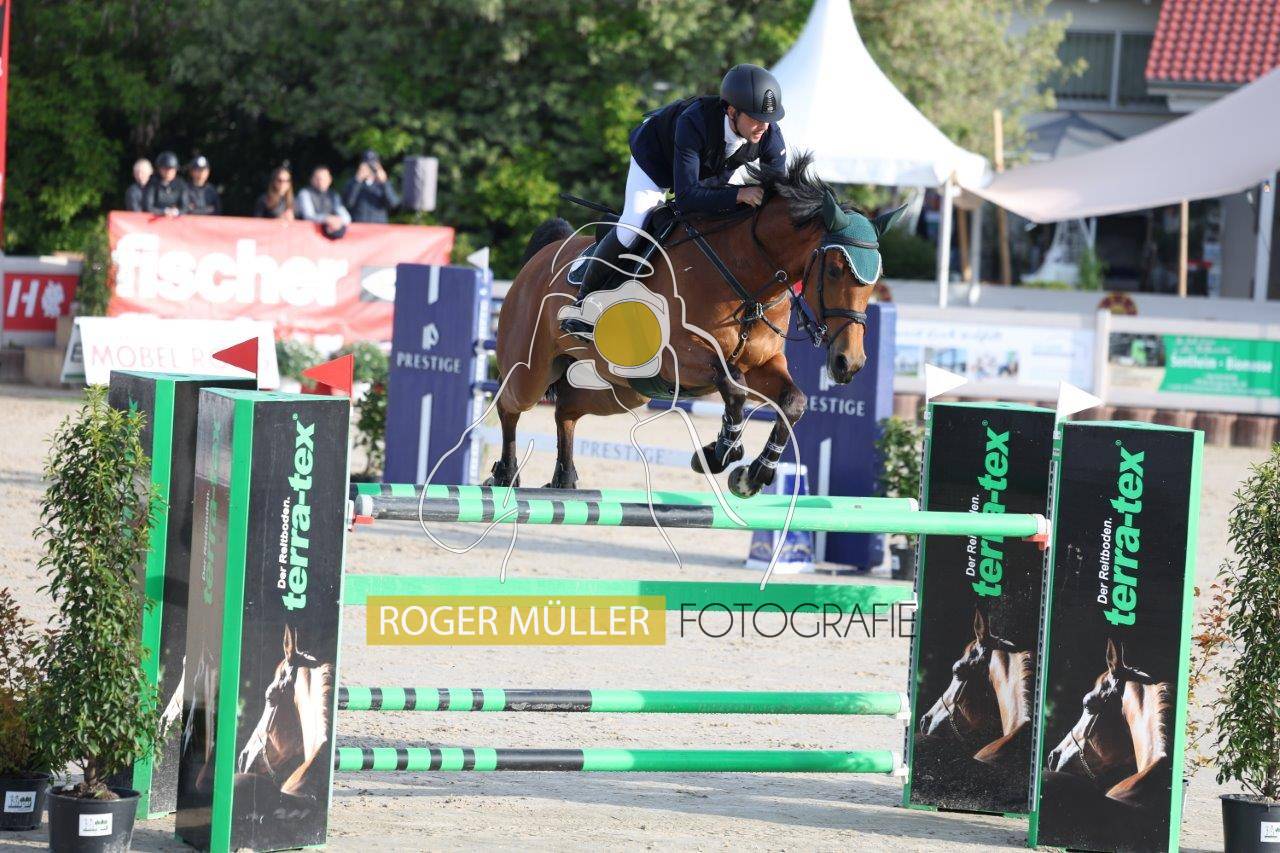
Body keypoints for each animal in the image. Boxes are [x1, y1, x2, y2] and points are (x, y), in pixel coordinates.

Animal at [489, 153, 904, 499]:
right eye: (834, 270)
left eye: (875, 279)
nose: (848, 363)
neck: (745, 278)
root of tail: (543, 256)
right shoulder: (680, 359)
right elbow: (732, 386)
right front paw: (720, 452)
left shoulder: (763, 365)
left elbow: (792, 401)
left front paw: (753, 474)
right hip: (531, 372)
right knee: (510, 406)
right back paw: (505, 473)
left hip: (621, 391)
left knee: (566, 411)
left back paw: (565, 477)